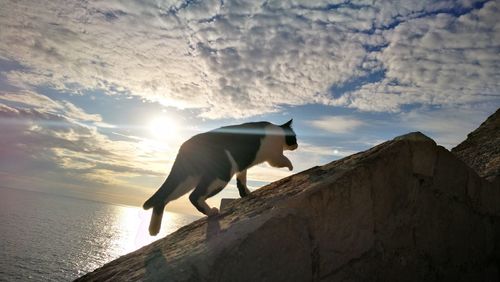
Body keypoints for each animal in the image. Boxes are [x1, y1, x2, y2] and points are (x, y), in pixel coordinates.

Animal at [142, 119, 296, 236]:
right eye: (294, 137)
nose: (296, 145)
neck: (278, 131)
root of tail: (185, 146)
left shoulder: (241, 166)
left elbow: (241, 182)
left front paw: (245, 194)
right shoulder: (274, 156)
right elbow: (284, 160)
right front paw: (291, 167)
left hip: (188, 177)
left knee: (163, 198)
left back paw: (153, 229)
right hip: (220, 175)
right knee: (194, 196)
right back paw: (212, 213)